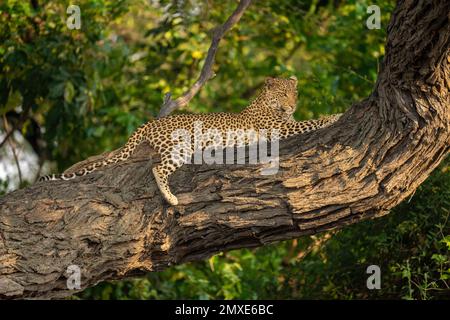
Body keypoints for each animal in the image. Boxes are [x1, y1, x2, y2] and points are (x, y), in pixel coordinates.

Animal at [39, 75, 342, 206]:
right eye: (282, 94)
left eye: (295, 94)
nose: (292, 105)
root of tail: (152, 122)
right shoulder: (278, 130)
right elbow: (311, 121)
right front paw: (336, 115)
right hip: (181, 146)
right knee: (158, 169)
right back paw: (171, 198)